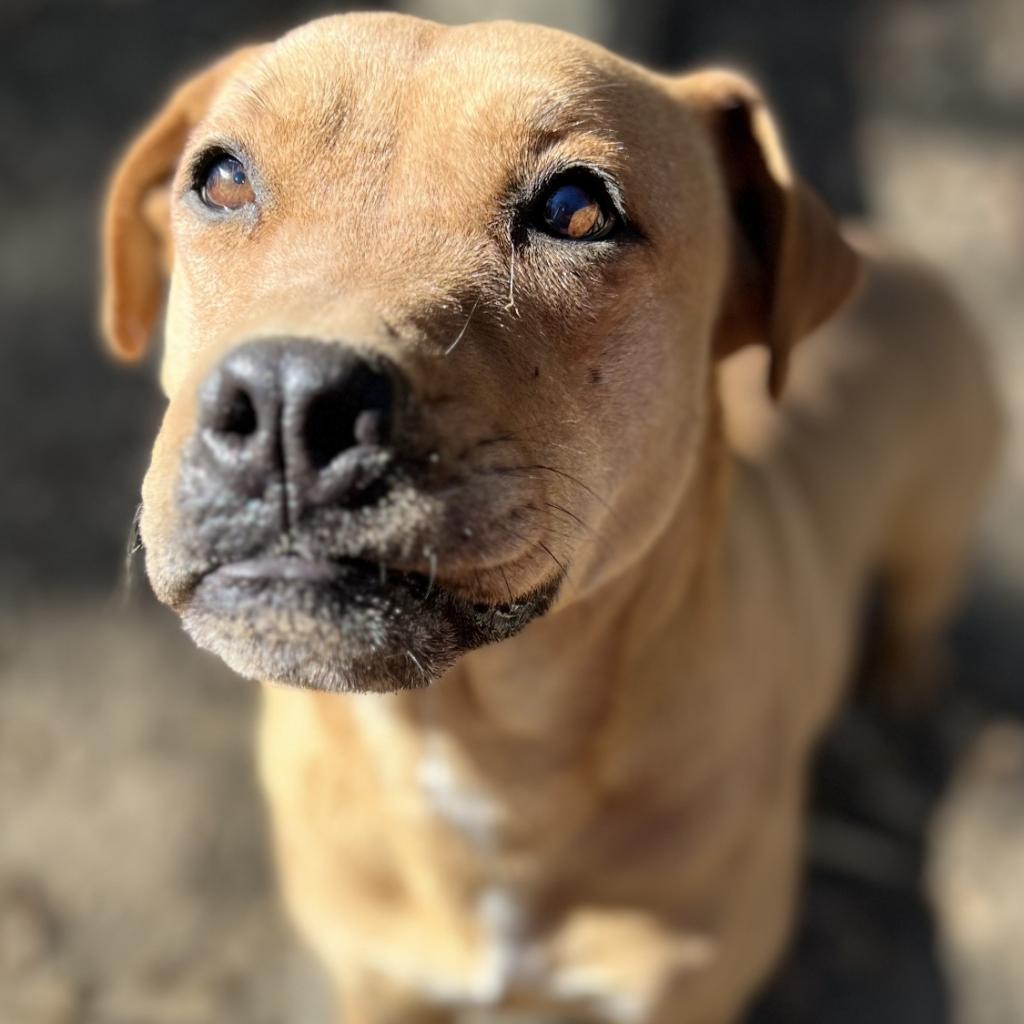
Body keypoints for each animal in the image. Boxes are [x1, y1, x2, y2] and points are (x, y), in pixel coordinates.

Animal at [101, 9, 999, 1024]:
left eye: (577, 206)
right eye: (220, 177)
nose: (290, 402)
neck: (472, 759)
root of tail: (896, 257)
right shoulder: (378, 979)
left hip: (936, 527)